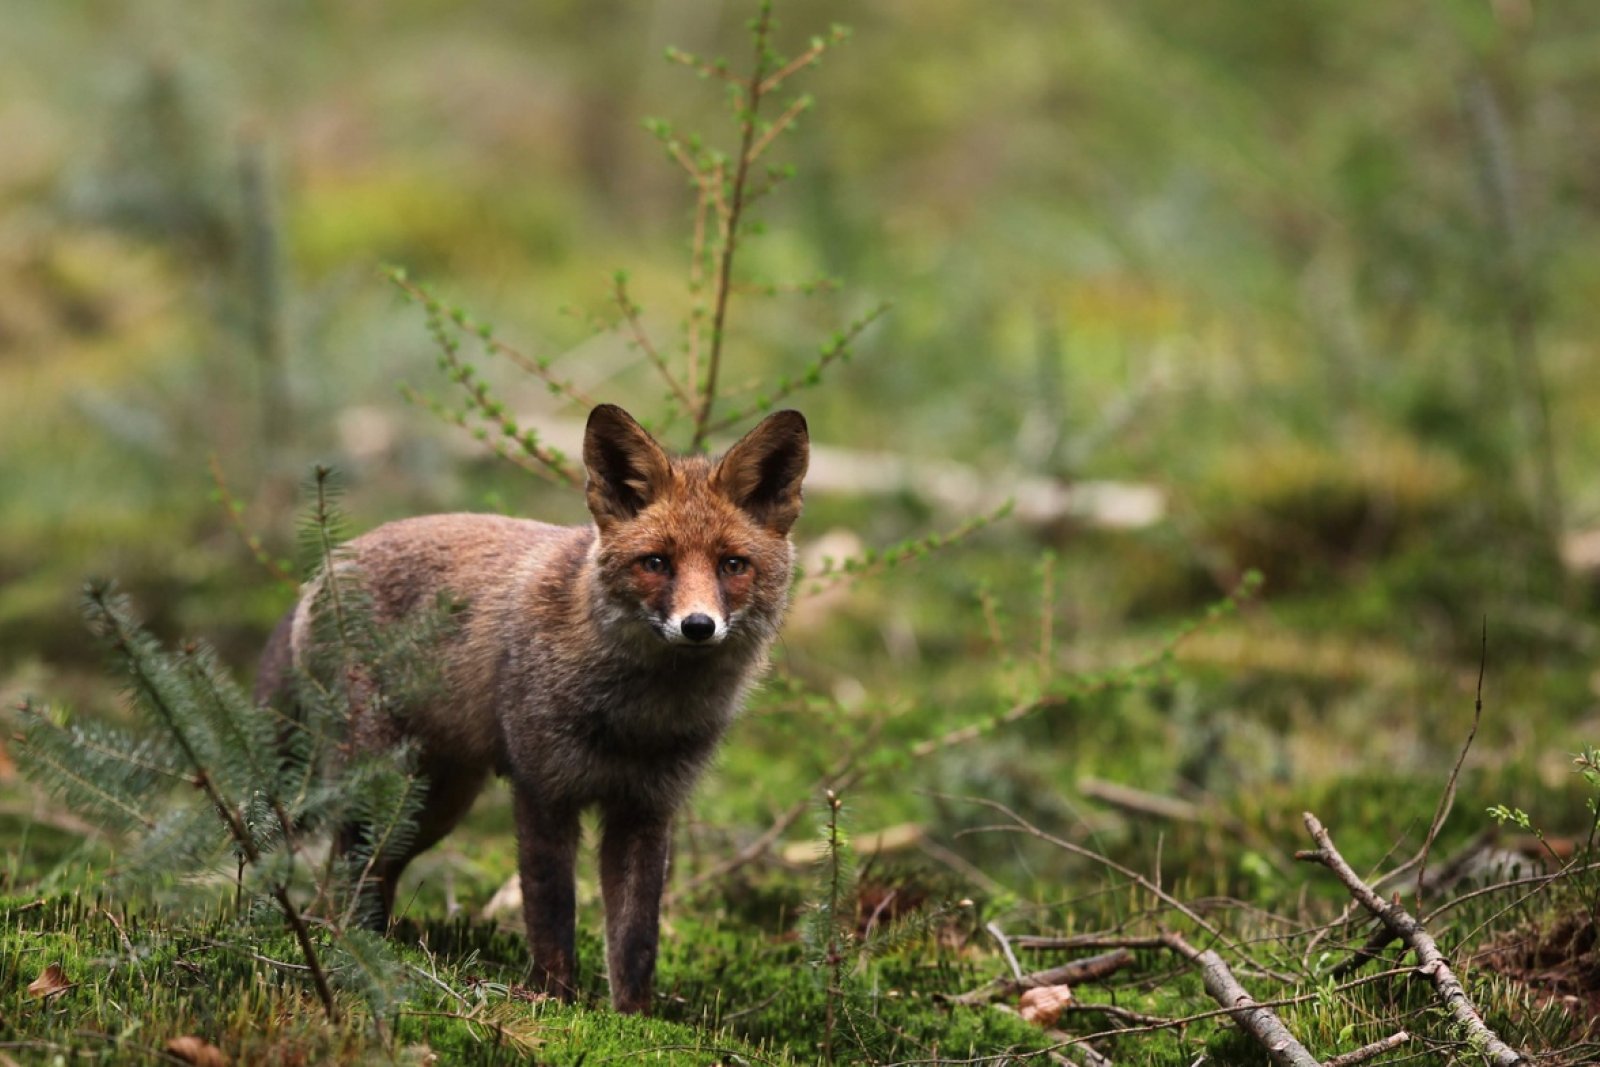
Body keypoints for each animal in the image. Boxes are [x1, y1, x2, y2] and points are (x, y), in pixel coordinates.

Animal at [262, 404, 812, 1017]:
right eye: (656, 563)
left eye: (732, 565)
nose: (698, 626)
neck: (635, 721)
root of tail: (327, 567)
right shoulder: (544, 790)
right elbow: (552, 913)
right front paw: (553, 1002)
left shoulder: (646, 808)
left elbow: (636, 938)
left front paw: (635, 1020)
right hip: (382, 788)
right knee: (344, 875)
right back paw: (352, 953)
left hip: (433, 806)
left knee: (372, 873)